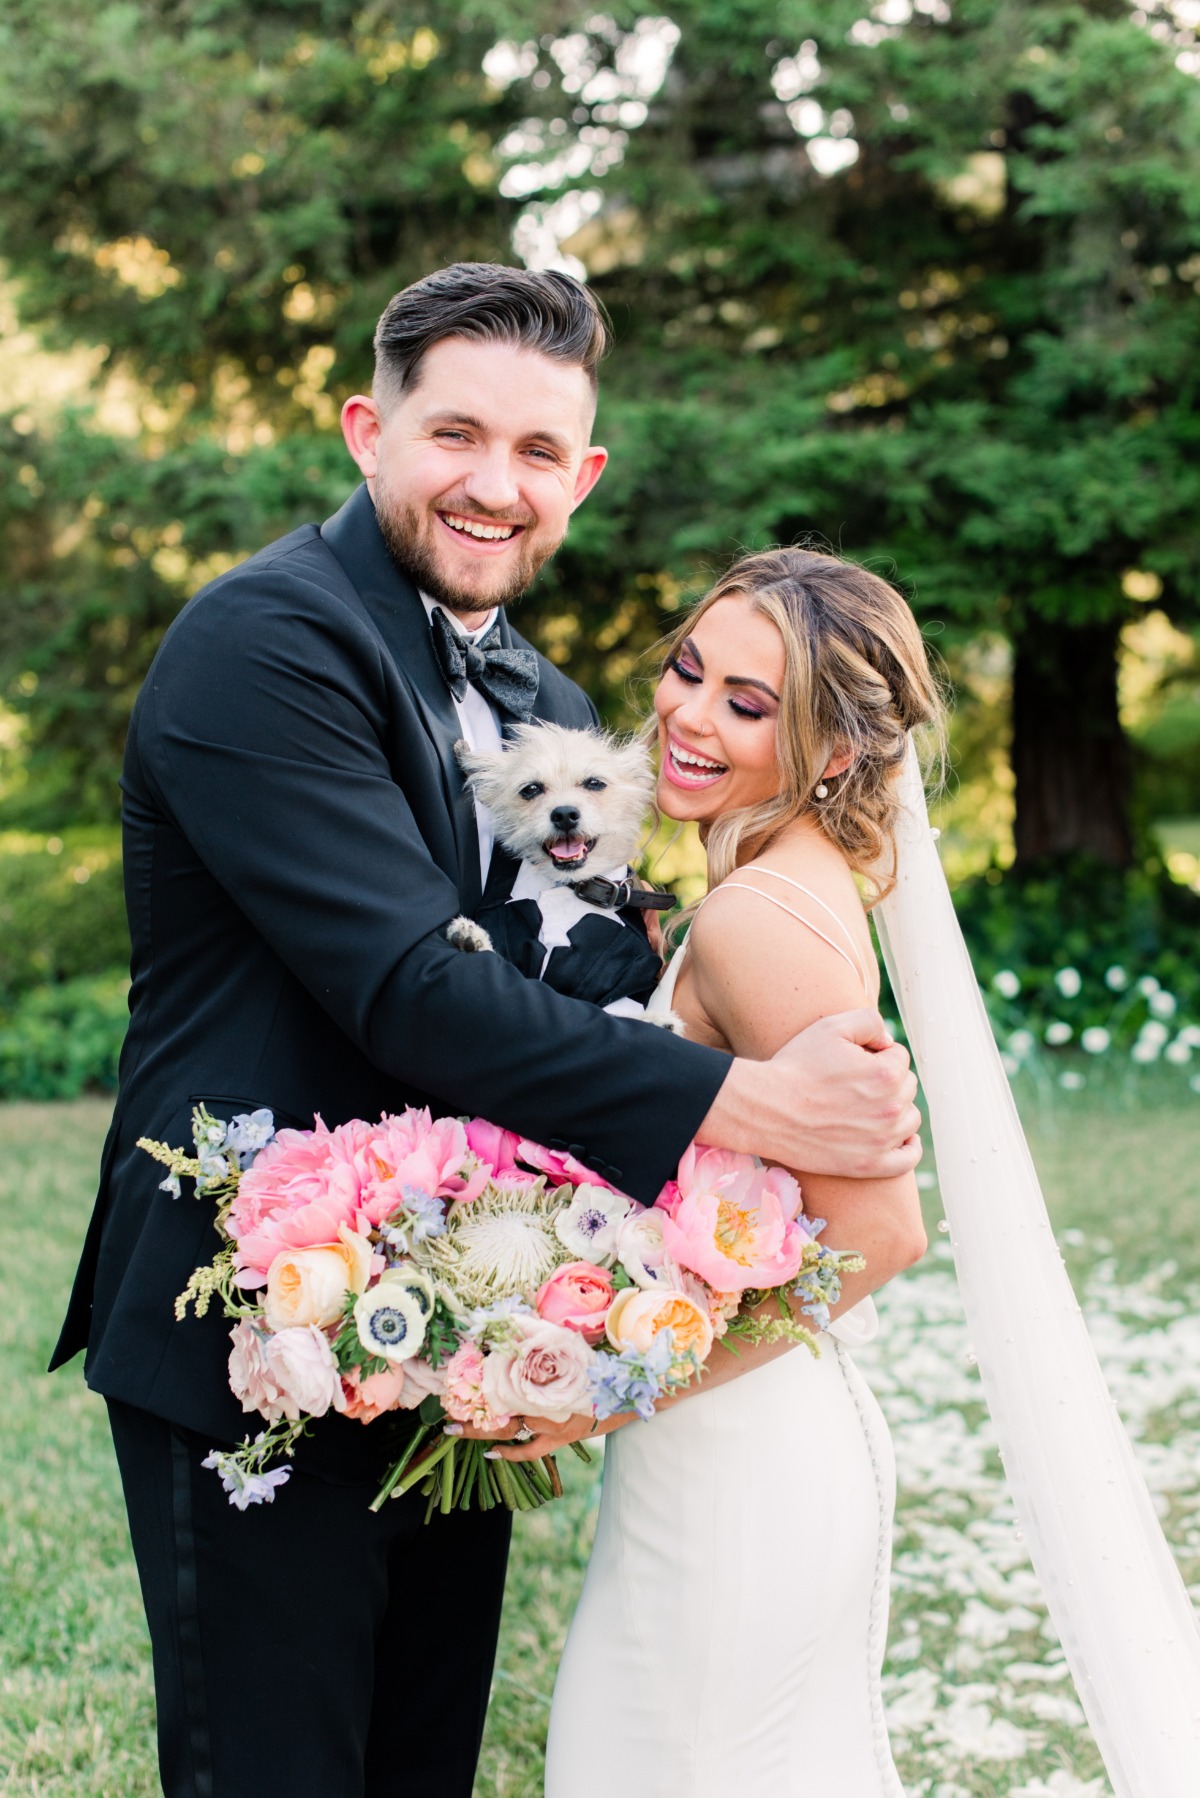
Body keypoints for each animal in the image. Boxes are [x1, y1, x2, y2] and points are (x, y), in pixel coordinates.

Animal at [446, 715, 680, 1028]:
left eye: (594, 783)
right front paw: (473, 939)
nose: (565, 814)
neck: (568, 887)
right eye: (531, 789)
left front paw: (657, 1020)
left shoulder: (626, 977)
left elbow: (617, 1013)